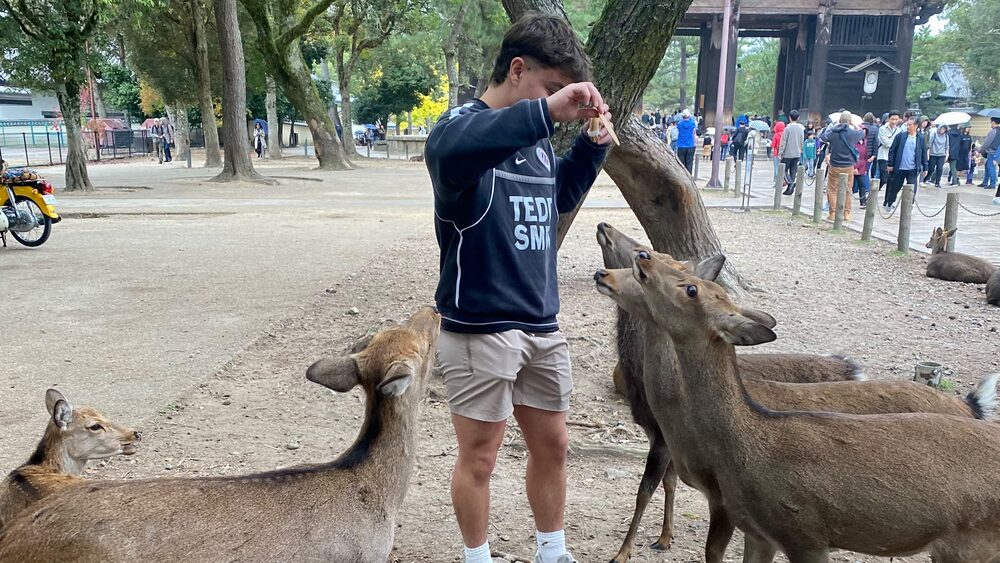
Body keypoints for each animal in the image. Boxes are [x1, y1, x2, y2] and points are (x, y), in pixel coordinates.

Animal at [594, 260, 999, 563]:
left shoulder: (803, 533)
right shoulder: (757, 530)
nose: (639, 261)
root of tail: (972, 403)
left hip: (970, 545)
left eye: (691, 287)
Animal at [596, 222, 861, 563]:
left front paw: (623, 552)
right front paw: (665, 538)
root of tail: (855, 369)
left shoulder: (662, 438)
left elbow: (645, 490)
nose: (604, 226)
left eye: (643, 250)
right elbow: (669, 483)